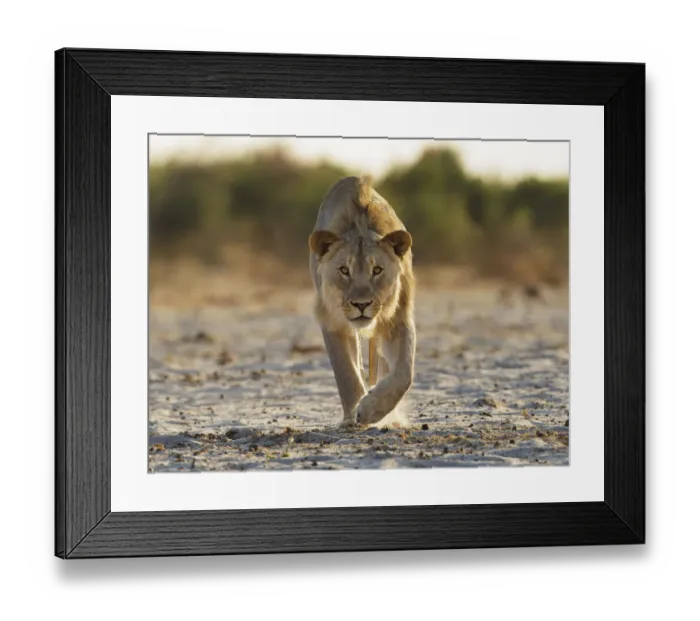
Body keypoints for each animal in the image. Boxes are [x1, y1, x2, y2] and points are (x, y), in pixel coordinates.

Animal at [309, 176, 416, 427]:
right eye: (344, 270)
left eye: (377, 270)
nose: (361, 305)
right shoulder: (332, 321)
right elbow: (346, 372)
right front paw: (354, 414)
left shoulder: (398, 318)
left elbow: (404, 372)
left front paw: (371, 410)